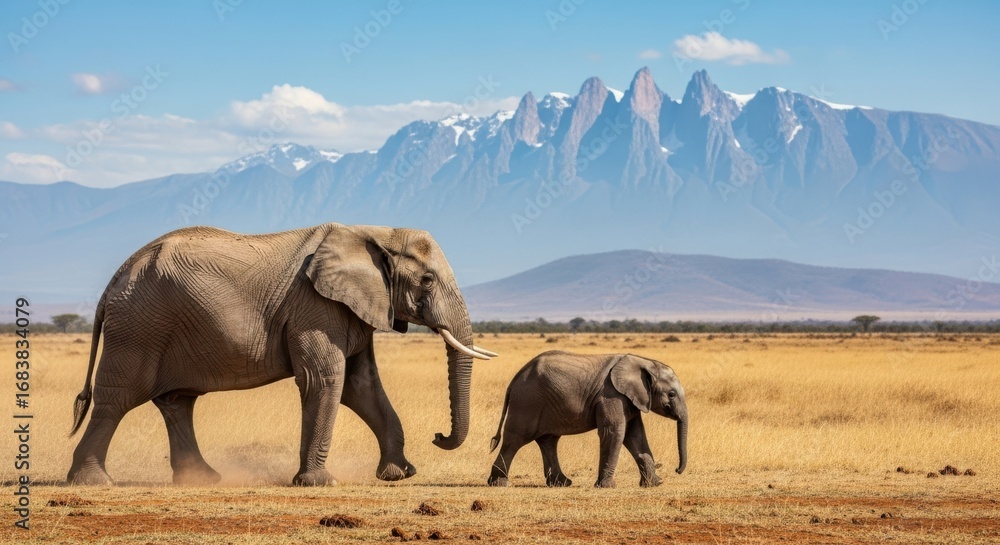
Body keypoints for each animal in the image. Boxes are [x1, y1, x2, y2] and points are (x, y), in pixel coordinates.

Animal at [66, 223, 497, 486]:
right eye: (427, 279)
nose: (438, 435)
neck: (374, 231)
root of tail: (114, 280)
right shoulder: (315, 305)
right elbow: (325, 379)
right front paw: (320, 483)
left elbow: (362, 387)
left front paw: (399, 475)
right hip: (139, 326)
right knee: (118, 398)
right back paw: (93, 481)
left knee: (177, 402)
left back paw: (203, 479)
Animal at [487, 351, 687, 488]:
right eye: (671, 394)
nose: (677, 470)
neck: (643, 361)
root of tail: (515, 379)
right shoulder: (611, 395)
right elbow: (614, 432)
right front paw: (607, 487)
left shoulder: (630, 399)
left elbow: (635, 435)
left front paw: (655, 484)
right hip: (527, 402)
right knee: (515, 439)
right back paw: (499, 483)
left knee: (548, 441)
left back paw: (562, 483)